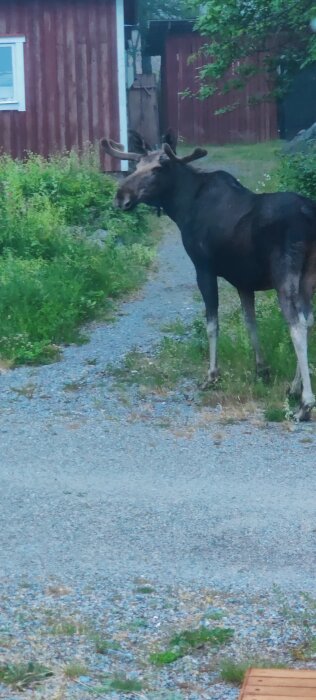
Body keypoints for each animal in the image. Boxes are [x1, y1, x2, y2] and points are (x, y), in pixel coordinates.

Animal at [100, 137, 316, 422]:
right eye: (136, 166)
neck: (182, 207)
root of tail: (309, 214)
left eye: (157, 169)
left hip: (285, 273)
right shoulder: (243, 281)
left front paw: (212, 375)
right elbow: (250, 322)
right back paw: (293, 387)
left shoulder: (203, 267)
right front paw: (262, 370)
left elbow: (212, 323)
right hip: (308, 276)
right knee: (308, 320)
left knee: (297, 325)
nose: (121, 196)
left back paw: (305, 403)